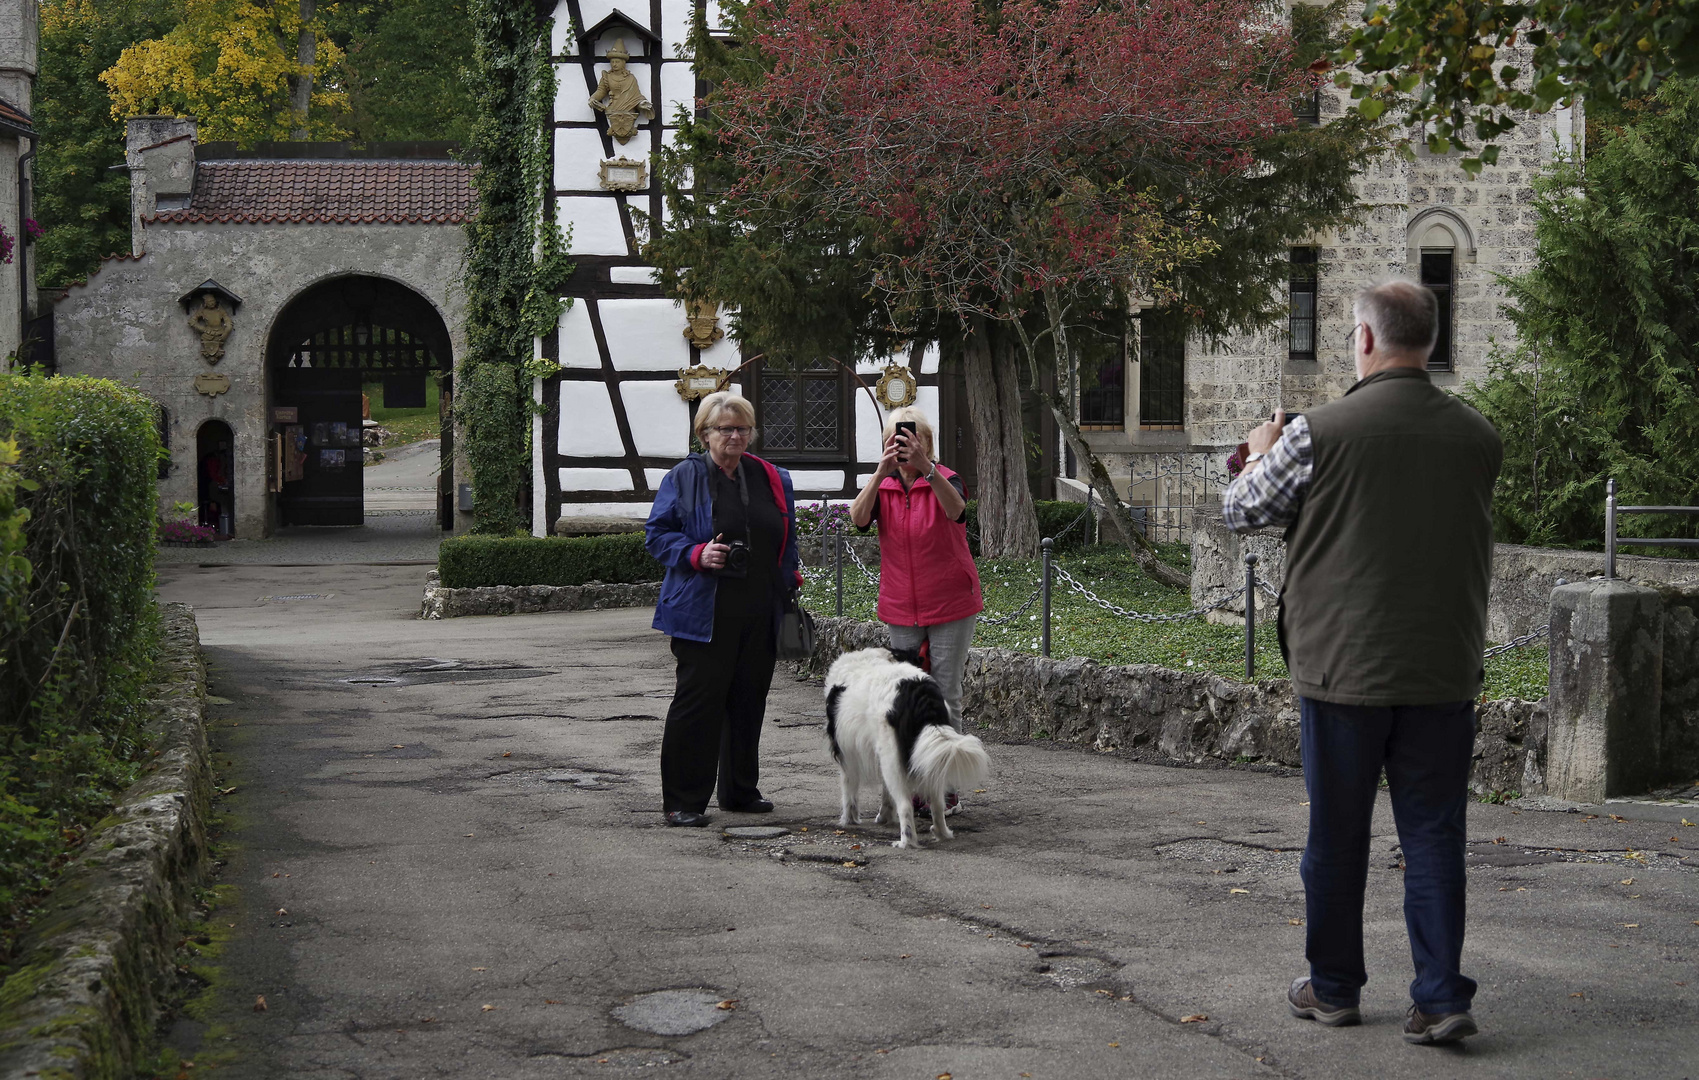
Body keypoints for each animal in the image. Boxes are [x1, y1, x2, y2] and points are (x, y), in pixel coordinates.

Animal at [825, 645, 992, 849]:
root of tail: (919, 692)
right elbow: (885, 794)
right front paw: (884, 817)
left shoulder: (847, 752)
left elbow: (849, 790)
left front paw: (849, 820)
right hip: (925, 758)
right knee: (937, 803)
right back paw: (942, 833)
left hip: (891, 759)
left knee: (905, 805)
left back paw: (906, 843)